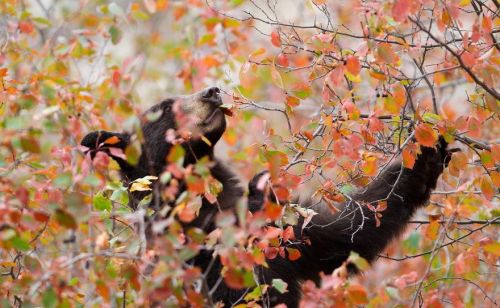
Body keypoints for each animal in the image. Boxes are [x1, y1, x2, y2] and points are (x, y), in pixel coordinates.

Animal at [81, 88, 450, 306]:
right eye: (164, 107)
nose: (211, 91)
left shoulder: (279, 231)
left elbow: (347, 234)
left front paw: (426, 152)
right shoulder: (201, 260)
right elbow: (242, 292)